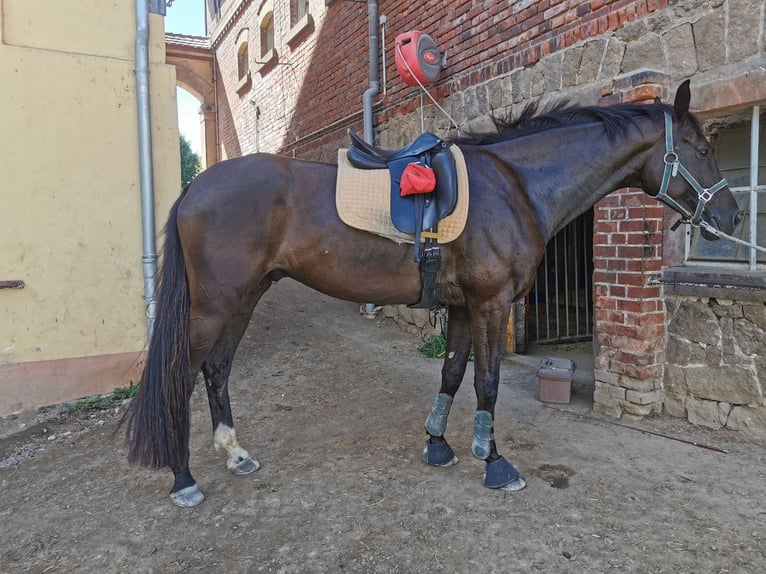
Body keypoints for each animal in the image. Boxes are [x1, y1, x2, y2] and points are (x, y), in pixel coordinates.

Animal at [123, 81, 741, 507]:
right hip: (213, 306)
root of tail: (194, 190)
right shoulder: (491, 302)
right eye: (697, 146)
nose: (732, 216)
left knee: (217, 371)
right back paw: (183, 478)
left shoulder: (465, 305)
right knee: (183, 374)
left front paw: (438, 446)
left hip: (245, 298)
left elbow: (452, 373)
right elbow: (488, 381)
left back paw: (236, 455)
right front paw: (495, 463)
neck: (515, 186)